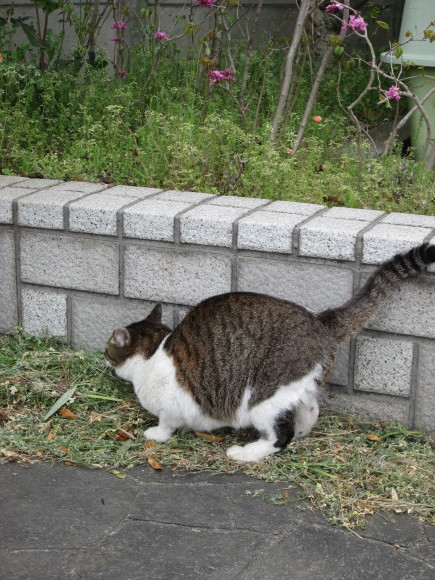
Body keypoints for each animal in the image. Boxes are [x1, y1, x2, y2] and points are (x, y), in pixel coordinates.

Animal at [105, 245, 435, 462]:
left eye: (109, 348)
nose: (104, 357)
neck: (152, 353)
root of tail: (320, 321)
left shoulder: (173, 406)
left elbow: (167, 424)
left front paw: (156, 435)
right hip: (297, 387)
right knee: (310, 409)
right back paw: (301, 429)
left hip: (262, 397)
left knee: (280, 437)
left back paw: (246, 452)